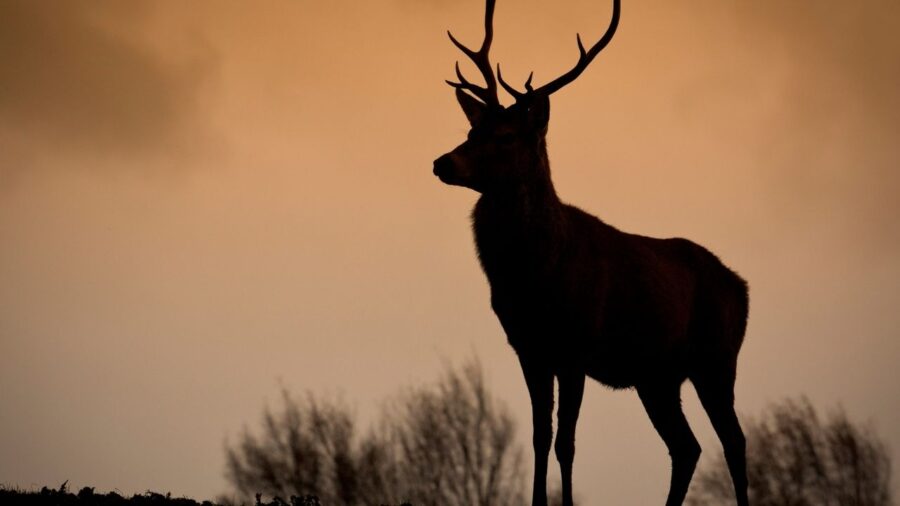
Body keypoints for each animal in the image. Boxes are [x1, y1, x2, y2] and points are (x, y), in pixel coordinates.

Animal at [432, 0, 748, 506]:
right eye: (471, 128)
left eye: (506, 137)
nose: (442, 162)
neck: (534, 276)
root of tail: (742, 287)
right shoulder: (528, 347)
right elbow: (540, 436)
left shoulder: (575, 345)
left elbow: (567, 443)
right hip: (657, 377)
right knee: (687, 446)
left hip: (717, 358)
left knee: (734, 441)